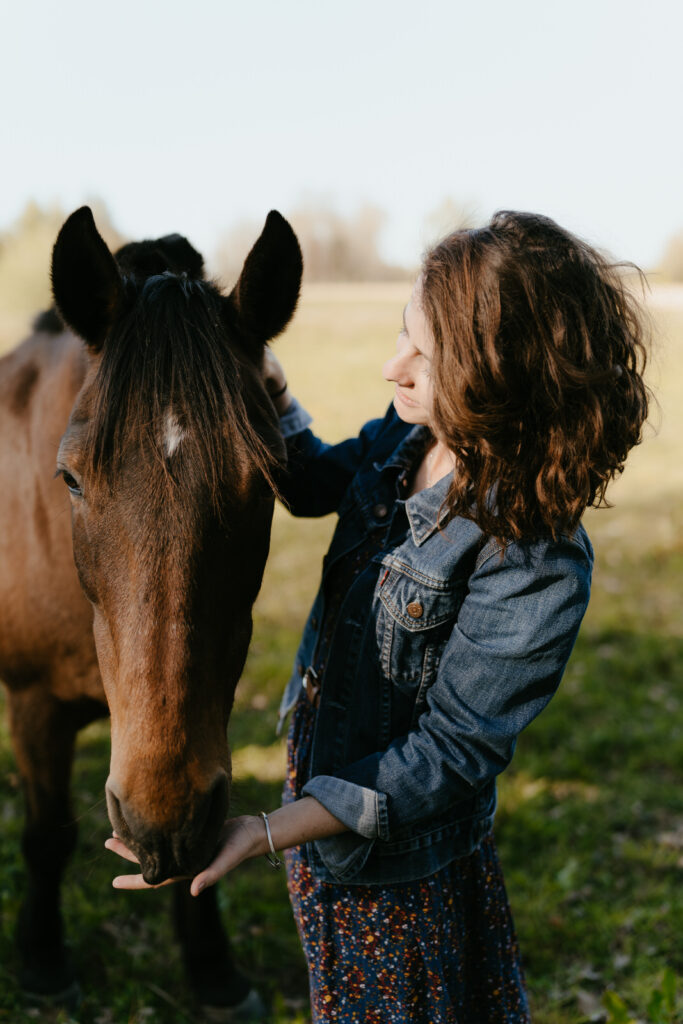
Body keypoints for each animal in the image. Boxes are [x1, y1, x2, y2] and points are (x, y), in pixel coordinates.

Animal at [0, 205, 301, 1007]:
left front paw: (212, 967)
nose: (159, 823)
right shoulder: (33, 702)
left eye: (268, 481)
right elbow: (47, 835)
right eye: (71, 479)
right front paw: (42, 959)